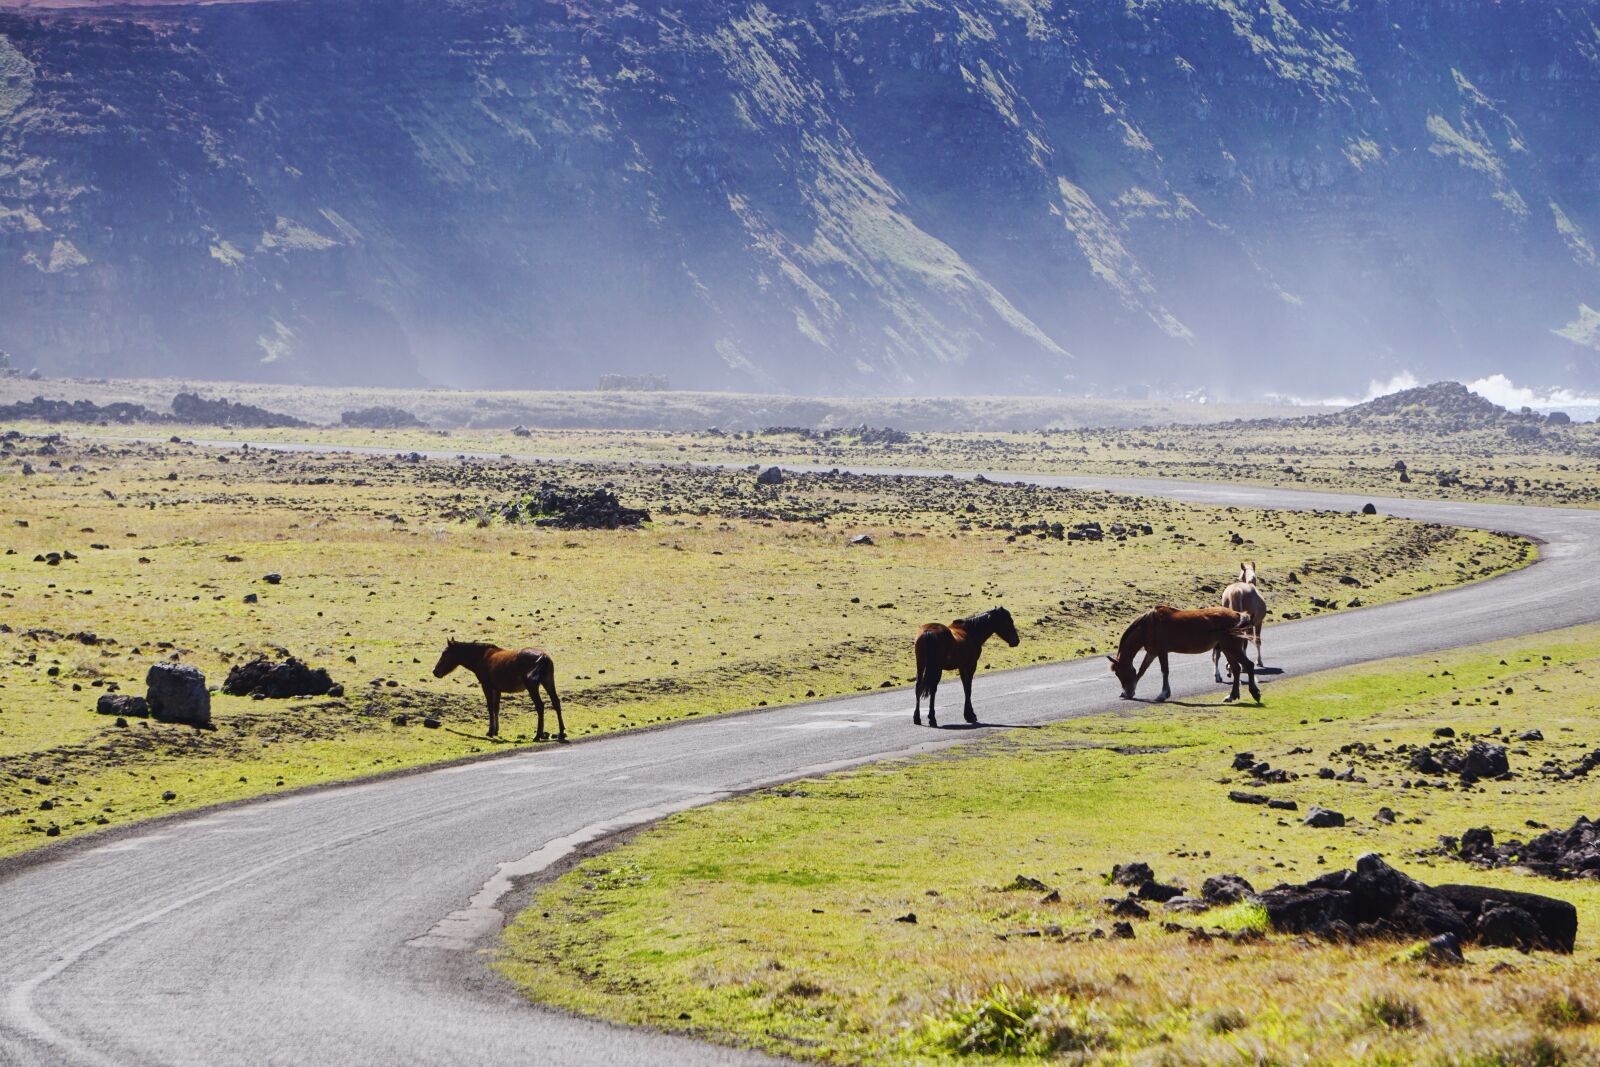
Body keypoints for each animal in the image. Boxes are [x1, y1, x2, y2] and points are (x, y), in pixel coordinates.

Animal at [435, 639, 566, 739]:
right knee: (556, 702)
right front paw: (496, 730)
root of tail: (543, 657)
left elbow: (490, 708)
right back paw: (561, 732)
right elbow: (496, 708)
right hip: (548, 682)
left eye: (445, 654)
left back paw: (538, 735)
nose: (435, 672)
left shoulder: (487, 686)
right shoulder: (496, 689)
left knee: (540, 706)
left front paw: (490, 731)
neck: (482, 657)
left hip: (532, 687)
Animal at [1107, 604, 1254, 703]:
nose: (1128, 691)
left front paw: (1163, 694)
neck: (1149, 626)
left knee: (1249, 665)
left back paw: (1255, 693)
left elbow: (1164, 671)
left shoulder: (1161, 651)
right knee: (1236, 669)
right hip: (1227, 649)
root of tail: (1237, 615)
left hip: (1231, 648)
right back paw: (1232, 696)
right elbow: (1142, 670)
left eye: (1118, 673)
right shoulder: (1152, 652)